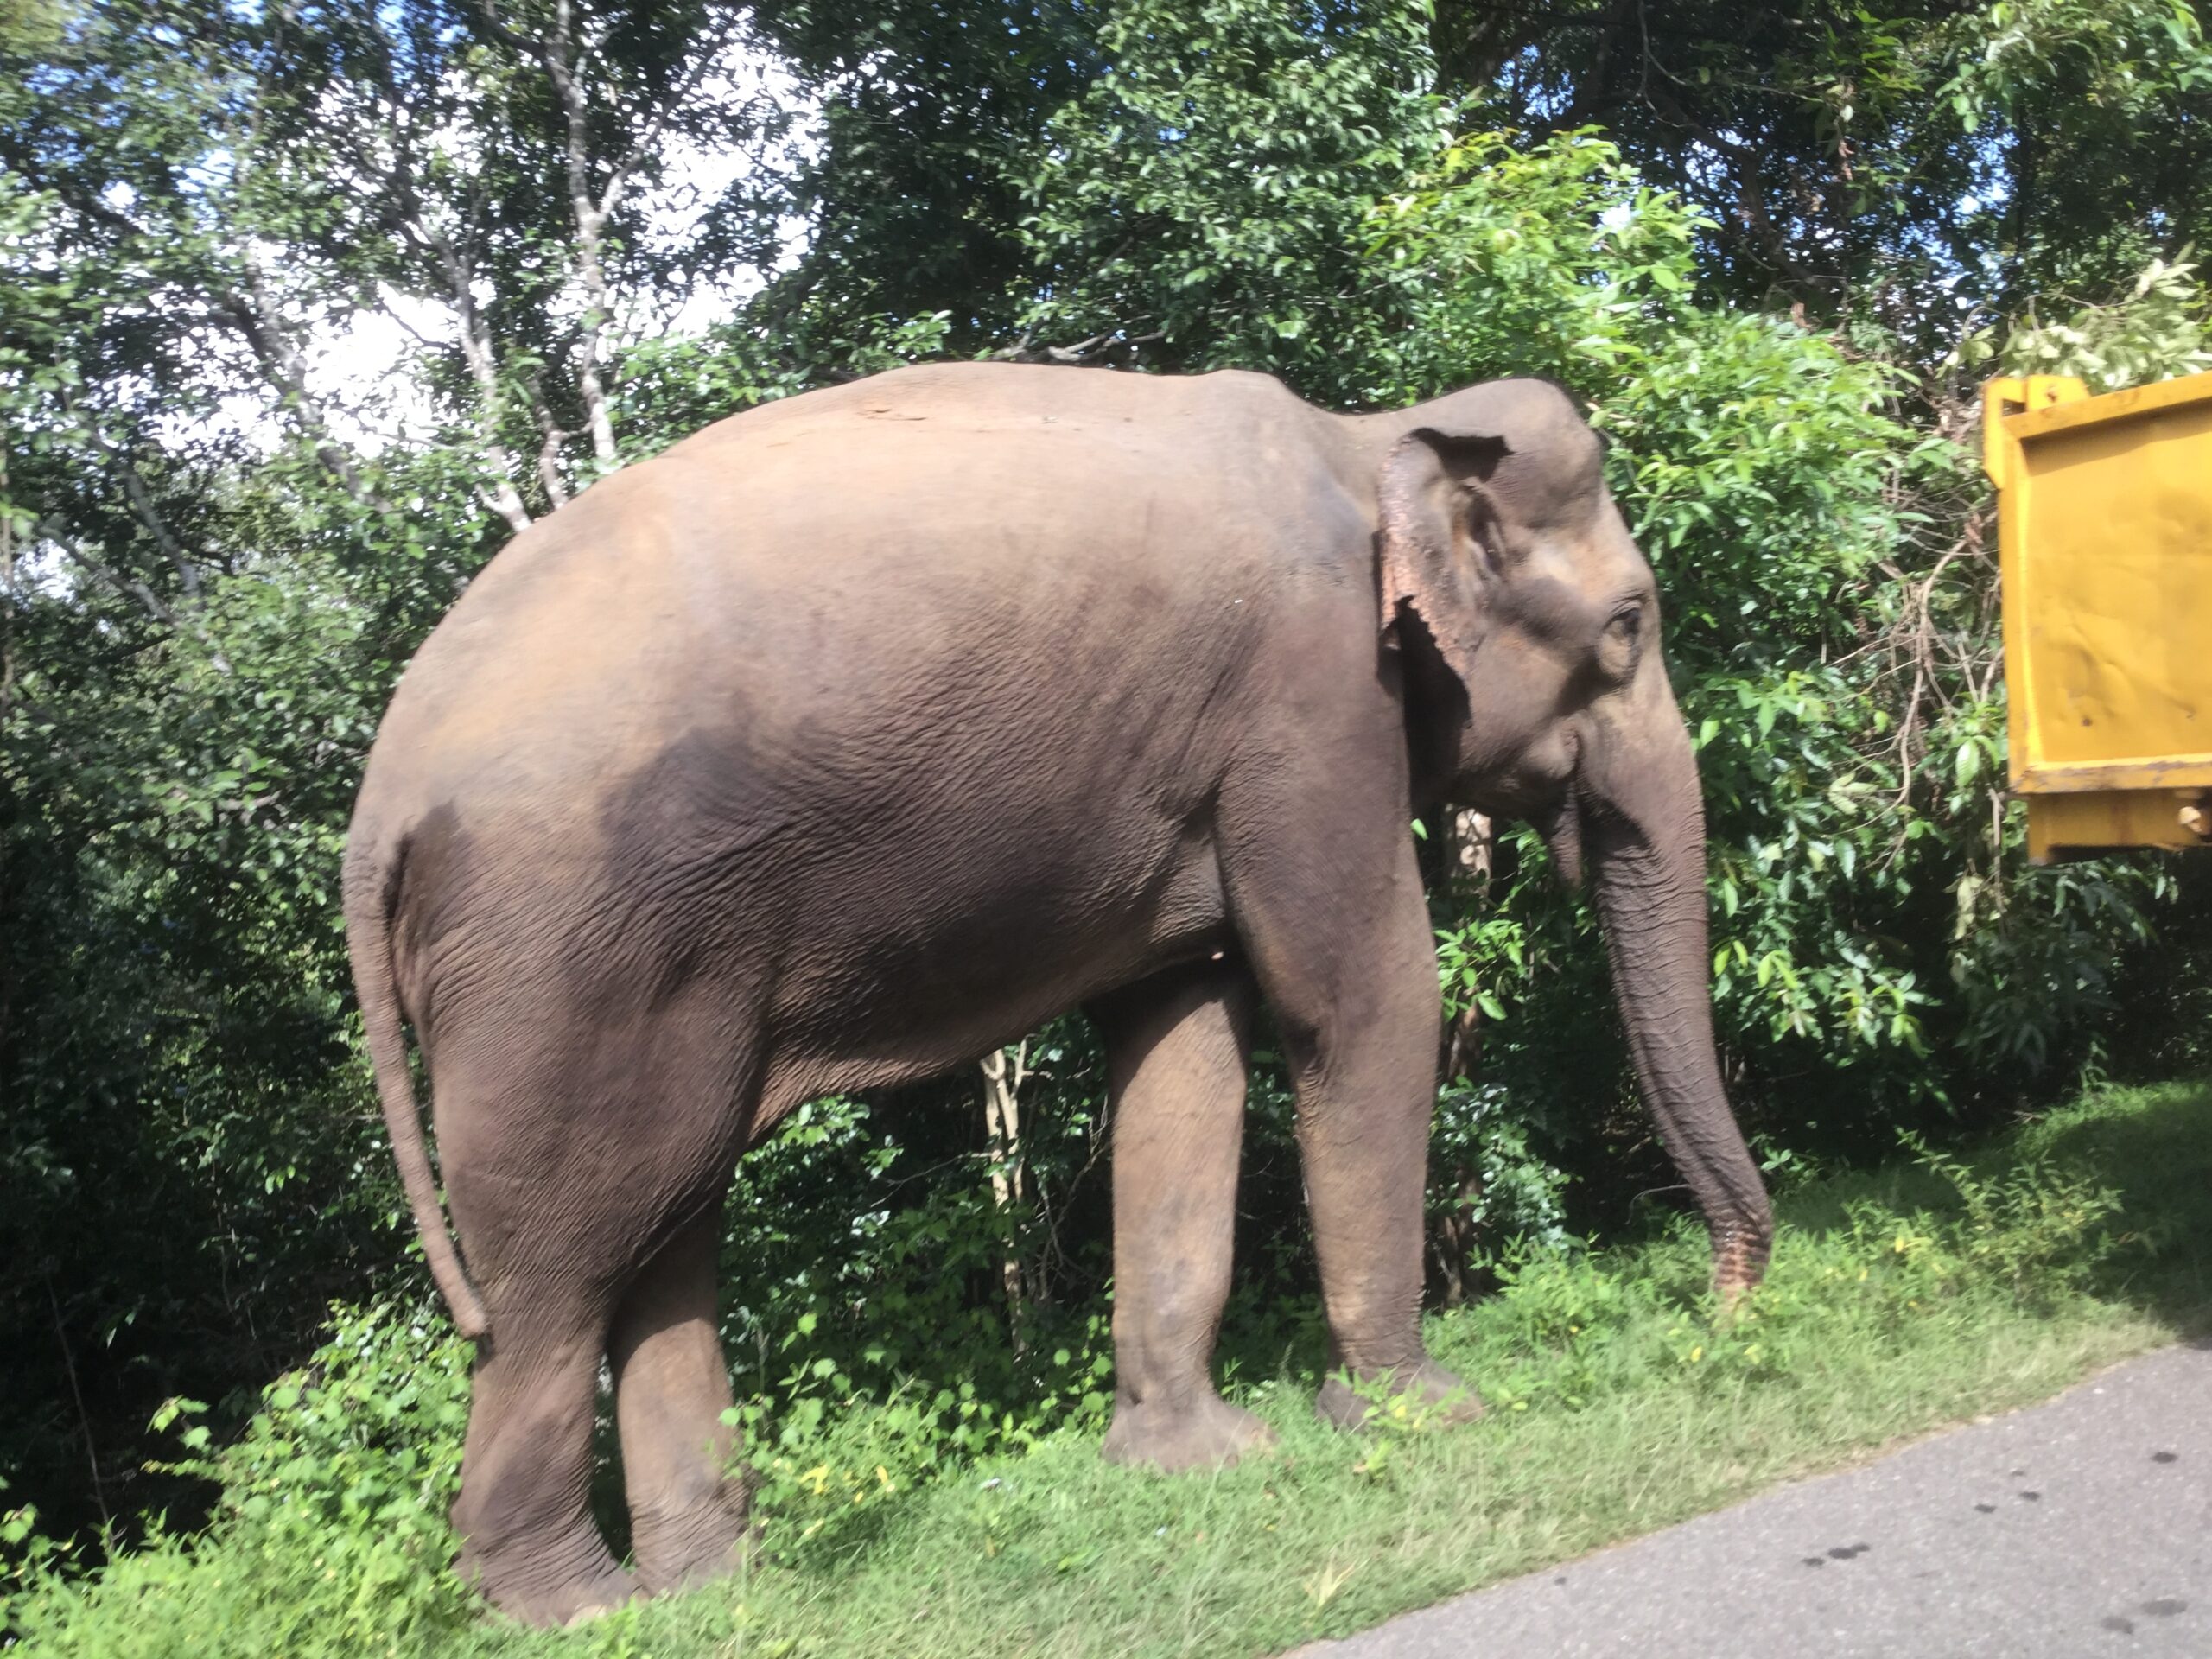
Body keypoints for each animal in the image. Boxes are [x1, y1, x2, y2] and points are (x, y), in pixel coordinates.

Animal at [345, 362, 1770, 1628]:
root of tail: (376, 804)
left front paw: (1199, 1462)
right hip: (562, 952)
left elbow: (1182, 1045)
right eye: (1629, 626)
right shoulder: (1311, 702)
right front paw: (1422, 1416)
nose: (1721, 1305)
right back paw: (576, 1608)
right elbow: (1361, 1001)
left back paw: (717, 1589)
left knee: (669, 1220)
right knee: (562, 1259)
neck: (1369, 434)